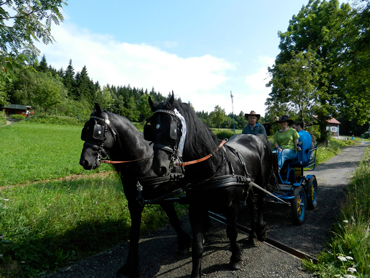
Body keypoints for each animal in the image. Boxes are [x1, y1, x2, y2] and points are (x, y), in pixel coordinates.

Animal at [80, 103, 191, 278]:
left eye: (97, 132)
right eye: (85, 130)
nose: (84, 161)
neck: (144, 162)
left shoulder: (162, 196)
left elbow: (173, 219)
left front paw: (184, 242)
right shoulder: (135, 202)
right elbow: (134, 232)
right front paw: (130, 266)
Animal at [145, 93, 278, 278]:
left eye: (172, 128)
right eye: (151, 129)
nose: (159, 168)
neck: (212, 168)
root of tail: (258, 139)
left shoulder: (231, 206)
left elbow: (232, 232)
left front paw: (235, 258)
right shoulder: (196, 208)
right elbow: (197, 245)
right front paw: (195, 273)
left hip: (262, 181)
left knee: (261, 203)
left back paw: (260, 230)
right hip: (248, 185)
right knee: (252, 204)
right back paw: (252, 235)